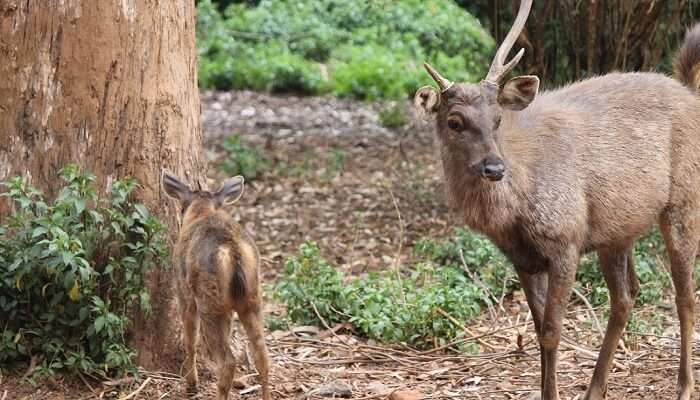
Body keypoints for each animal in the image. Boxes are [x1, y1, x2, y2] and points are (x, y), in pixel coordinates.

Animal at [163, 172, 272, 400]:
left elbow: (190, 340)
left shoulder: (183, 290)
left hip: (209, 301)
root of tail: (233, 251)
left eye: (182, 207)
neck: (202, 211)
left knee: (228, 361)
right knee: (262, 354)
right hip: (252, 297)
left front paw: (191, 384)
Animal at [412, 1, 700, 398]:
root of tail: (690, 92)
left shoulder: (566, 240)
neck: (513, 214)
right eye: (454, 121)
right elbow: (537, 330)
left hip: (684, 200)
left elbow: (551, 332)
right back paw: (596, 388)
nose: (494, 167)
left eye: (498, 118)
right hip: (617, 230)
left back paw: (684, 385)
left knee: (684, 296)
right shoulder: (522, 258)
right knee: (626, 297)